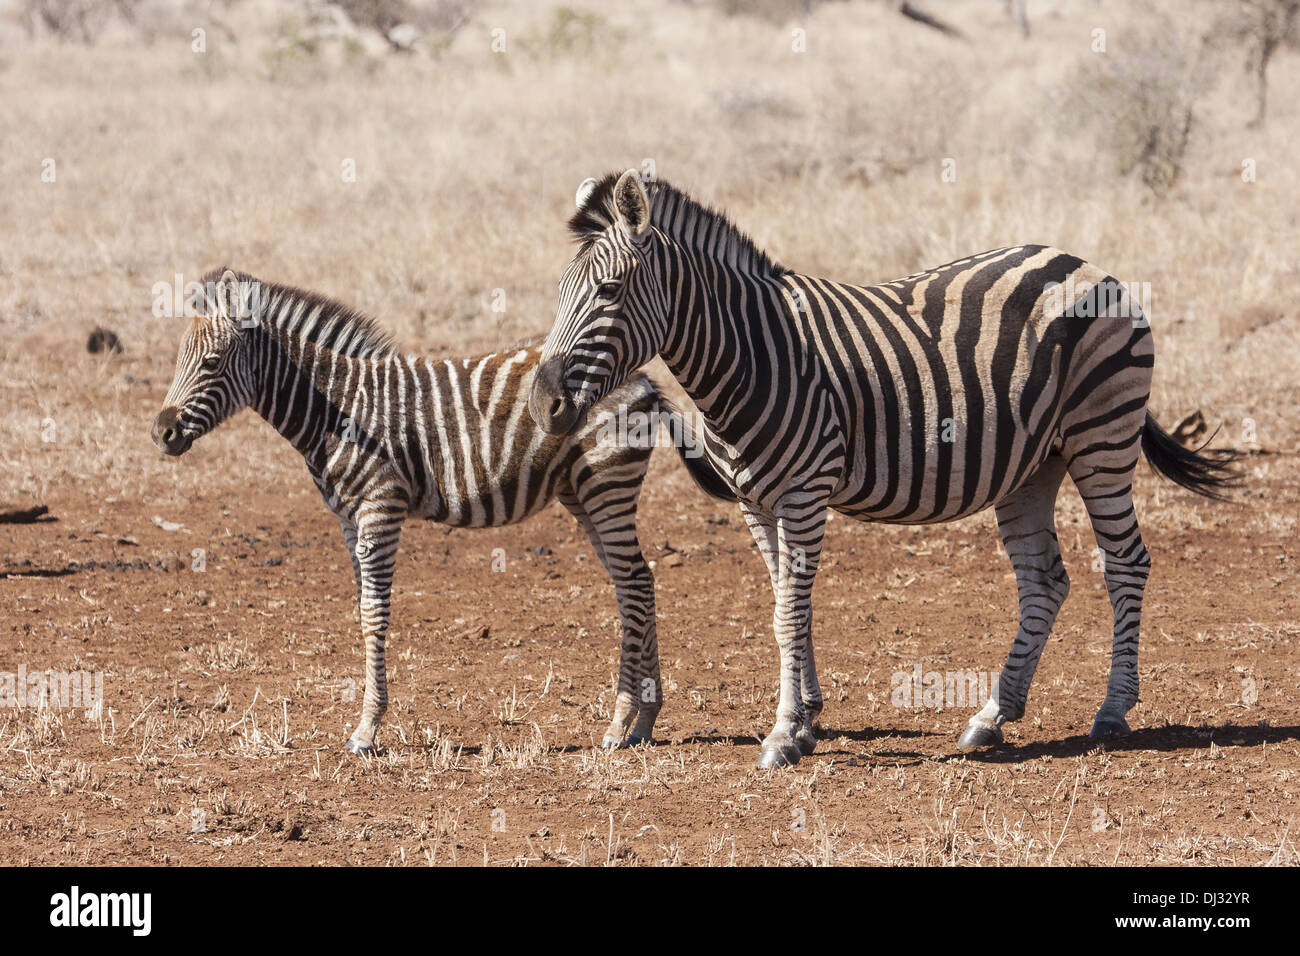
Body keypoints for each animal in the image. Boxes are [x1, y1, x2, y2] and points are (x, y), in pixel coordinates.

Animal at [153, 267, 707, 754]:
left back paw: (620, 723)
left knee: (634, 583)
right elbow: (361, 608)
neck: (337, 406)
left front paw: (366, 730)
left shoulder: (381, 506)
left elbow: (374, 614)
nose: (161, 433)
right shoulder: (348, 518)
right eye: (179, 359)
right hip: (583, 492)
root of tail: (643, 376)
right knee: (636, 581)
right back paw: (644, 721)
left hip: (606, 485)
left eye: (212, 362)